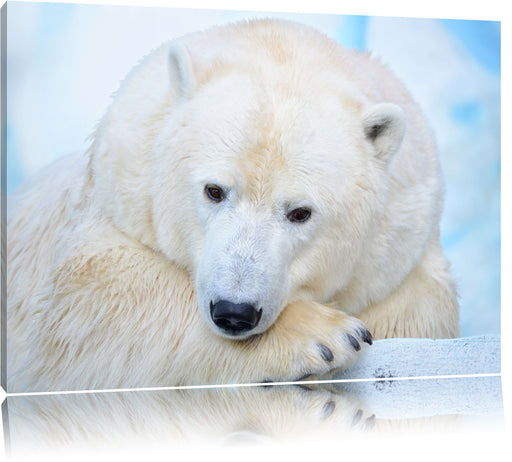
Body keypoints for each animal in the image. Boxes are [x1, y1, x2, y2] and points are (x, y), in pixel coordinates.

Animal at [6, 19, 458, 392]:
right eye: (214, 190)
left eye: (300, 212)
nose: (234, 311)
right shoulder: (112, 201)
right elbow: (92, 296)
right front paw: (324, 336)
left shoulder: (398, 247)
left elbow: (422, 310)